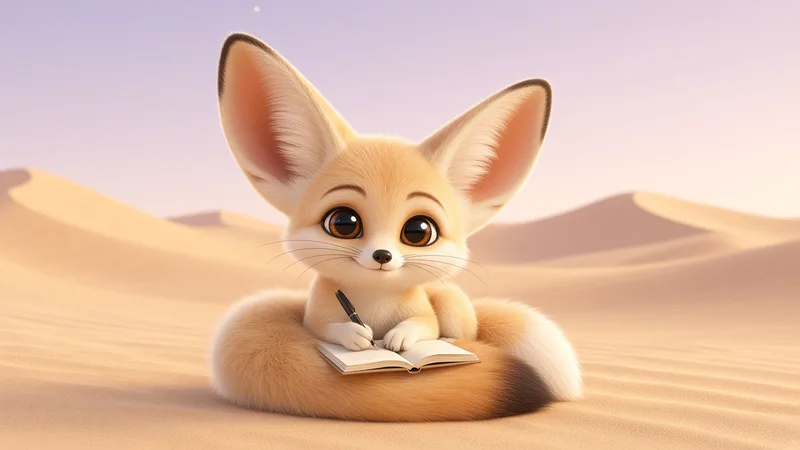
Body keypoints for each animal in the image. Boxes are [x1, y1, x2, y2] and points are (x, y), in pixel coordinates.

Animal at [209, 32, 582, 422]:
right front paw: (356, 337)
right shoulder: (317, 316)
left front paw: (400, 339)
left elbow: (422, 325)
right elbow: (328, 329)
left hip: (450, 298)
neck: (374, 302)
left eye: (419, 230)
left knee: (463, 330)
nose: (382, 255)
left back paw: (449, 343)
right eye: (343, 223)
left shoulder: (422, 311)